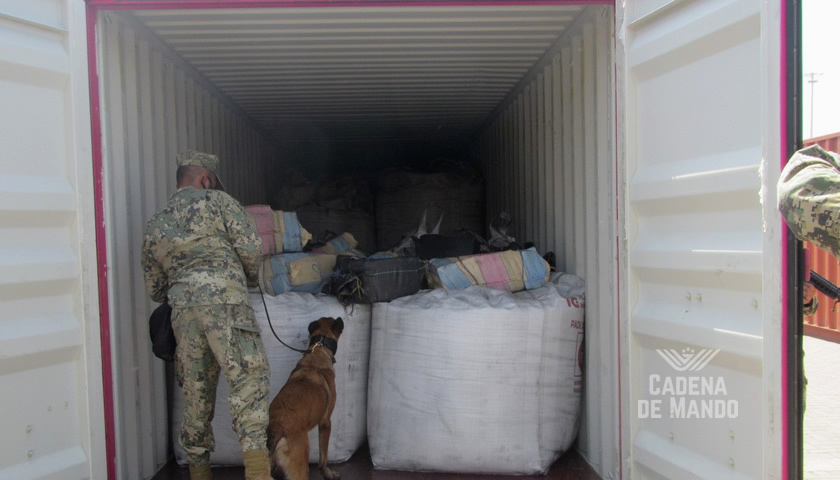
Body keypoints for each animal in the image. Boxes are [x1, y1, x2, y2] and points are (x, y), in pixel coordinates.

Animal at [268, 316, 342, 480]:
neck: (318, 352)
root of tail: (277, 427)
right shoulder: (325, 422)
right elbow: (323, 458)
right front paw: (328, 474)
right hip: (300, 466)